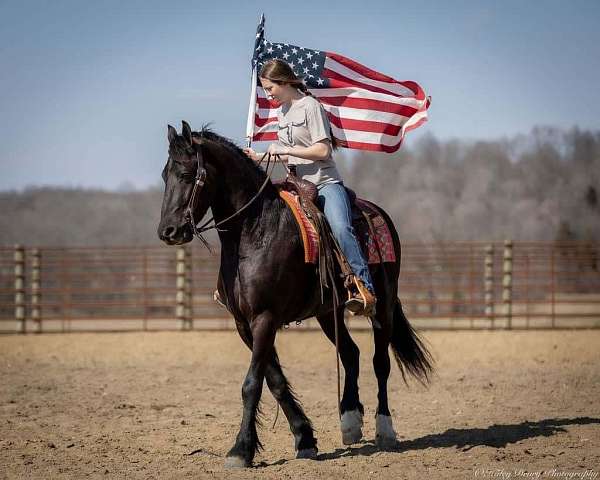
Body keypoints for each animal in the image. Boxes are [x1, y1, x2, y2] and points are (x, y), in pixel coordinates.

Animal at [157, 121, 434, 468]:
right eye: (164, 175)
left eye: (186, 174)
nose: (167, 232)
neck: (255, 230)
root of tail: (379, 213)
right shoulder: (245, 323)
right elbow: (274, 381)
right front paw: (304, 439)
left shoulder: (265, 318)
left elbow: (252, 384)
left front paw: (240, 450)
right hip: (328, 312)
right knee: (351, 354)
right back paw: (350, 421)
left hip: (382, 306)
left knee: (380, 362)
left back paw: (384, 429)